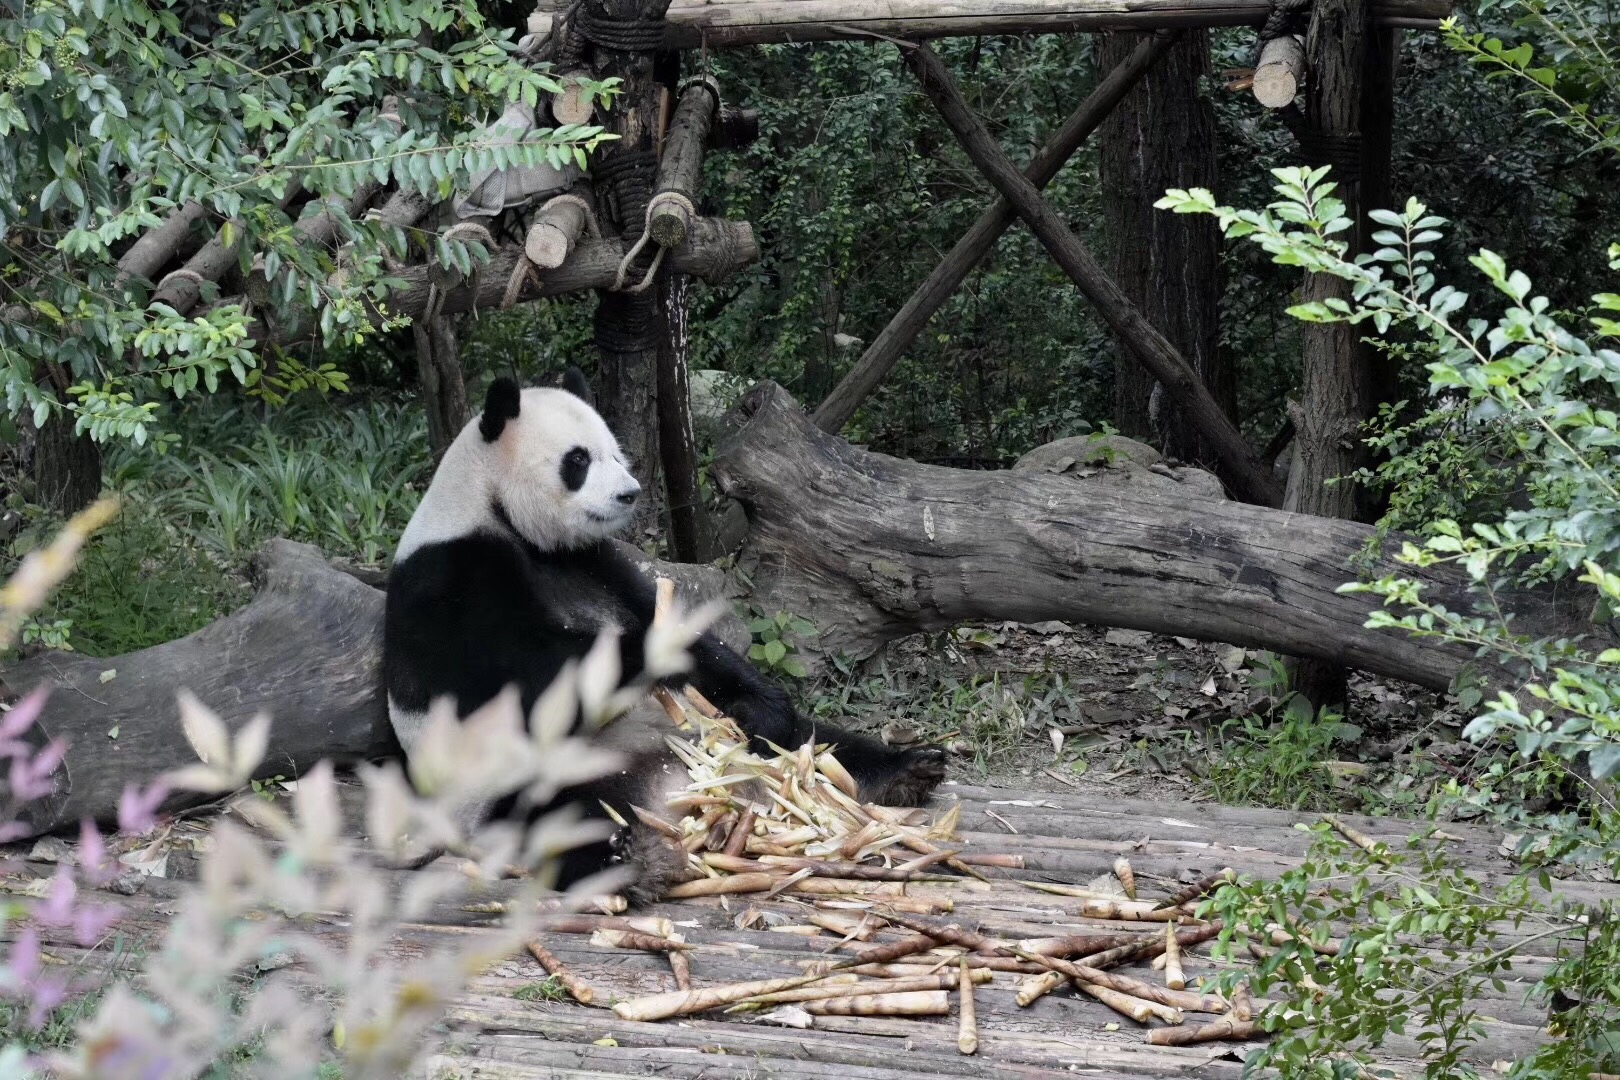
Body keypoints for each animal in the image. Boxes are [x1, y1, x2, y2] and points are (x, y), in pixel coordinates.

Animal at [383, 372, 946, 906]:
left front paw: (757, 700)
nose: (629, 493)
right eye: (578, 460)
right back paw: (634, 858)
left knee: (815, 742)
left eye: (616, 451)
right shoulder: (451, 574)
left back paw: (908, 770)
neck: (500, 513)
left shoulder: (595, 562)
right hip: (513, 775)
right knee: (555, 814)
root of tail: (672, 792)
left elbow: (684, 635)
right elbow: (533, 673)